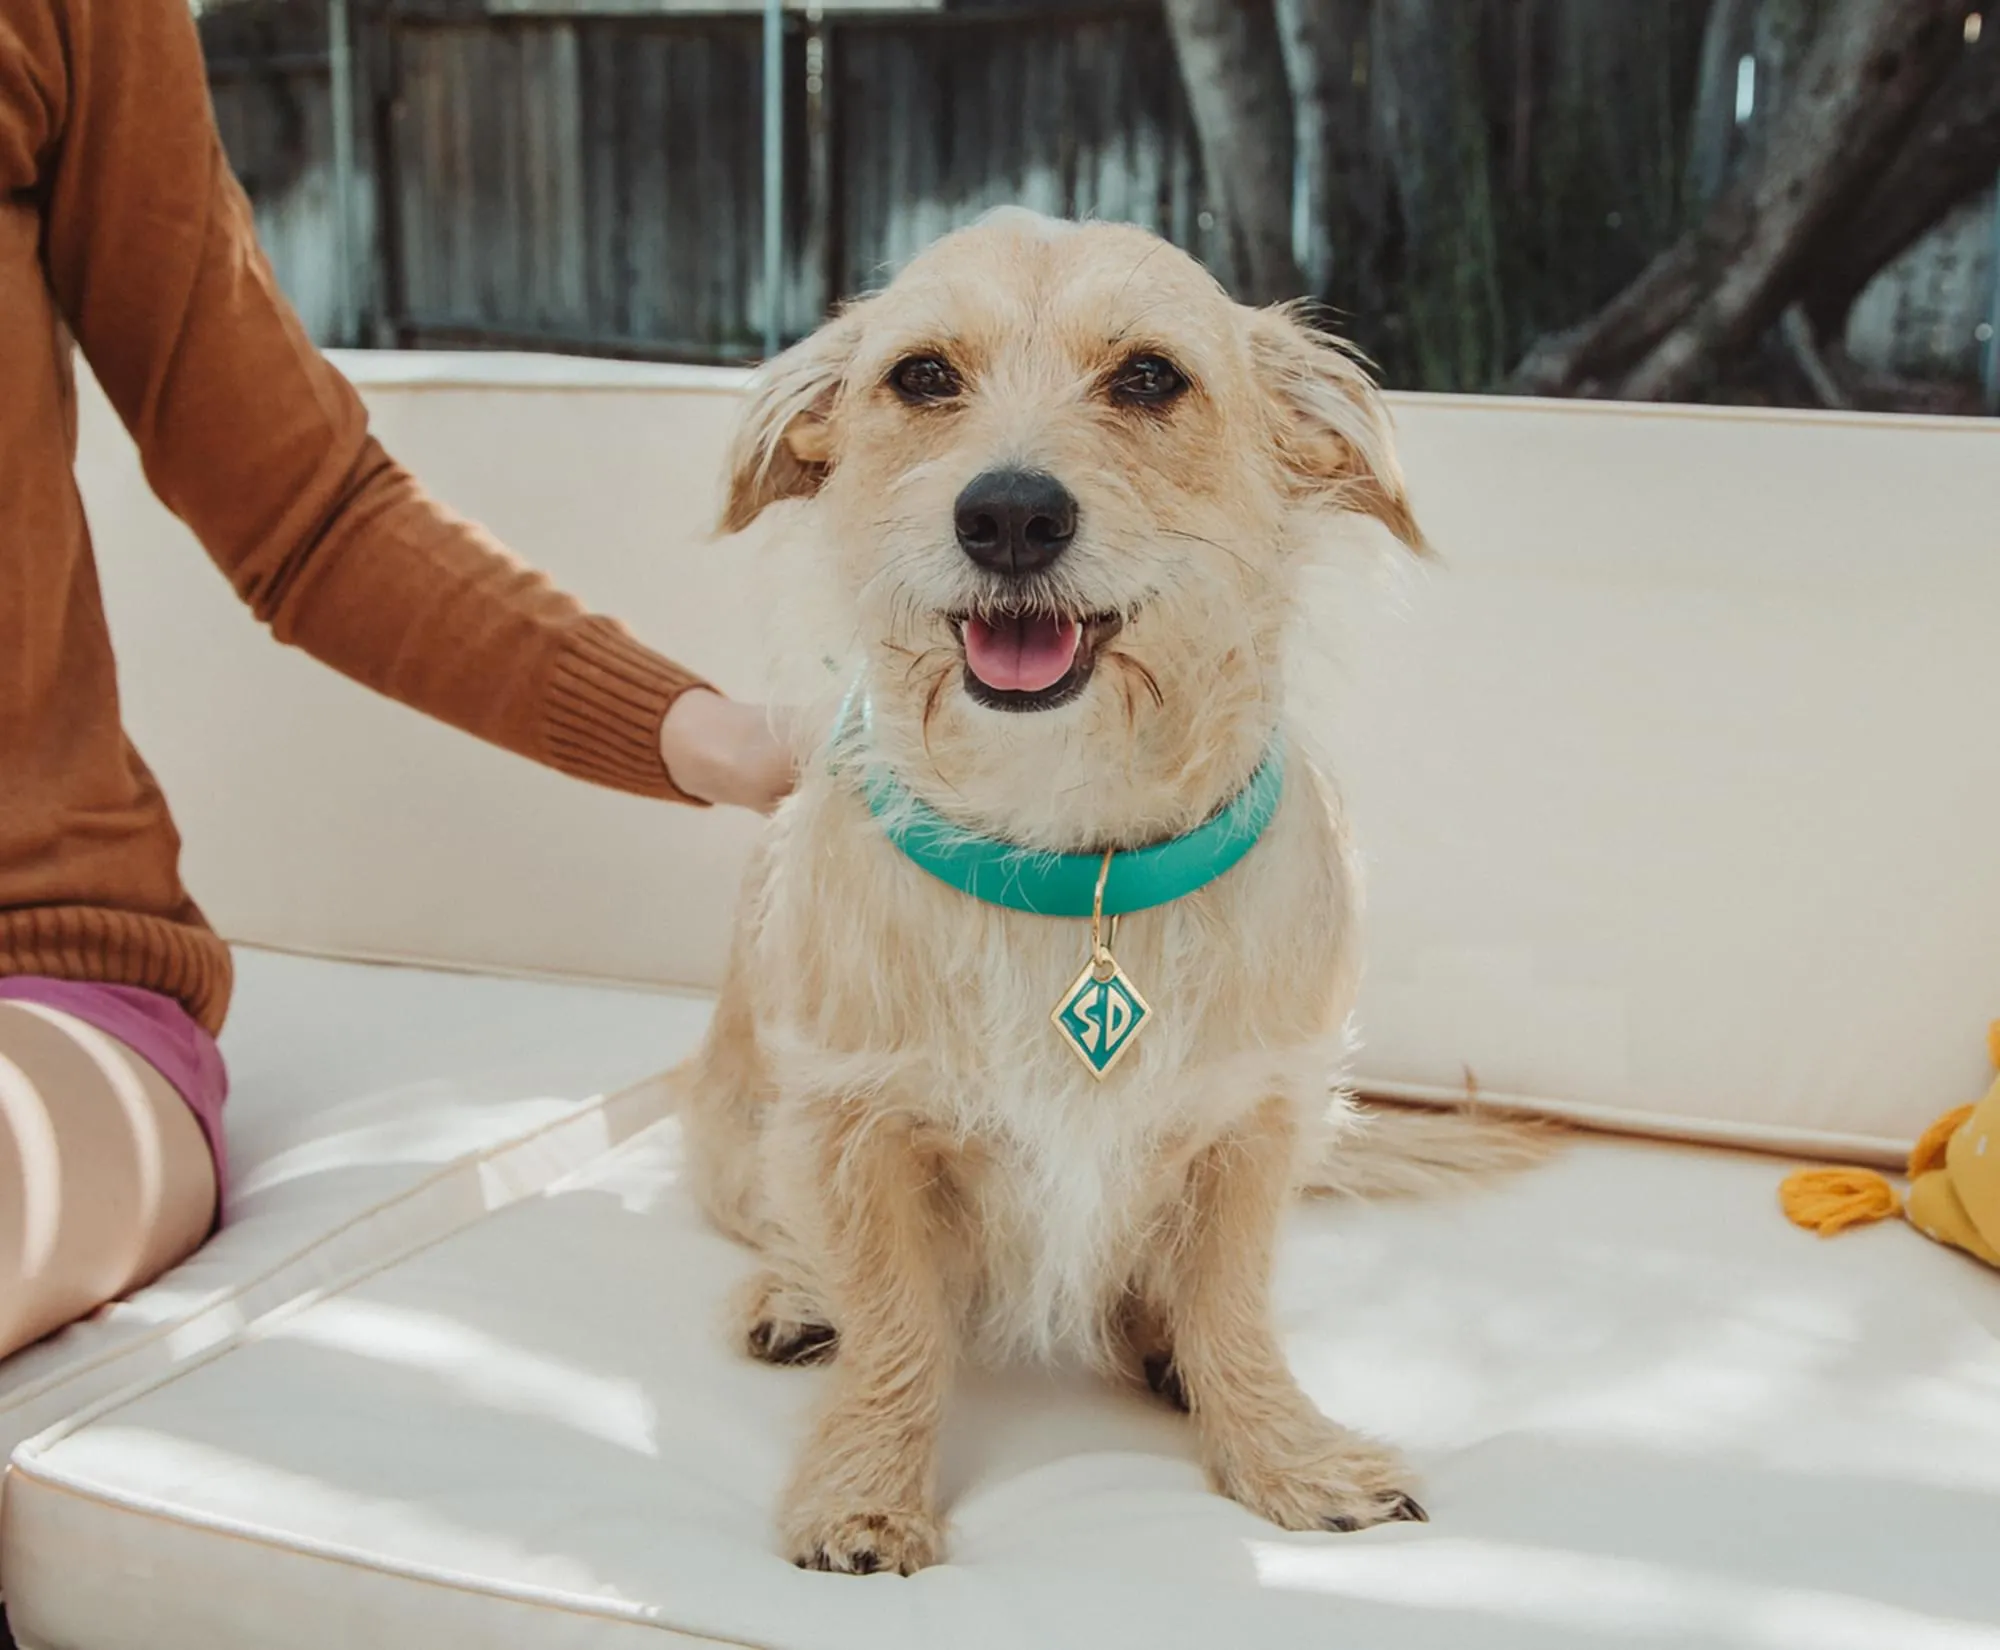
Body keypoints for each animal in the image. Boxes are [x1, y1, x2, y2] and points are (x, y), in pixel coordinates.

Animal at [672, 206, 1528, 1568]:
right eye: (921, 376)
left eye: (1147, 379)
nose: (1009, 517)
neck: (1070, 863)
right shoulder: (856, 1126)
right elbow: (895, 1323)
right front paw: (863, 1490)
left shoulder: (1253, 1129)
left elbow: (1231, 1304)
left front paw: (1281, 1452)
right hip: (745, 1142)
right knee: (797, 1235)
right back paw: (802, 1298)